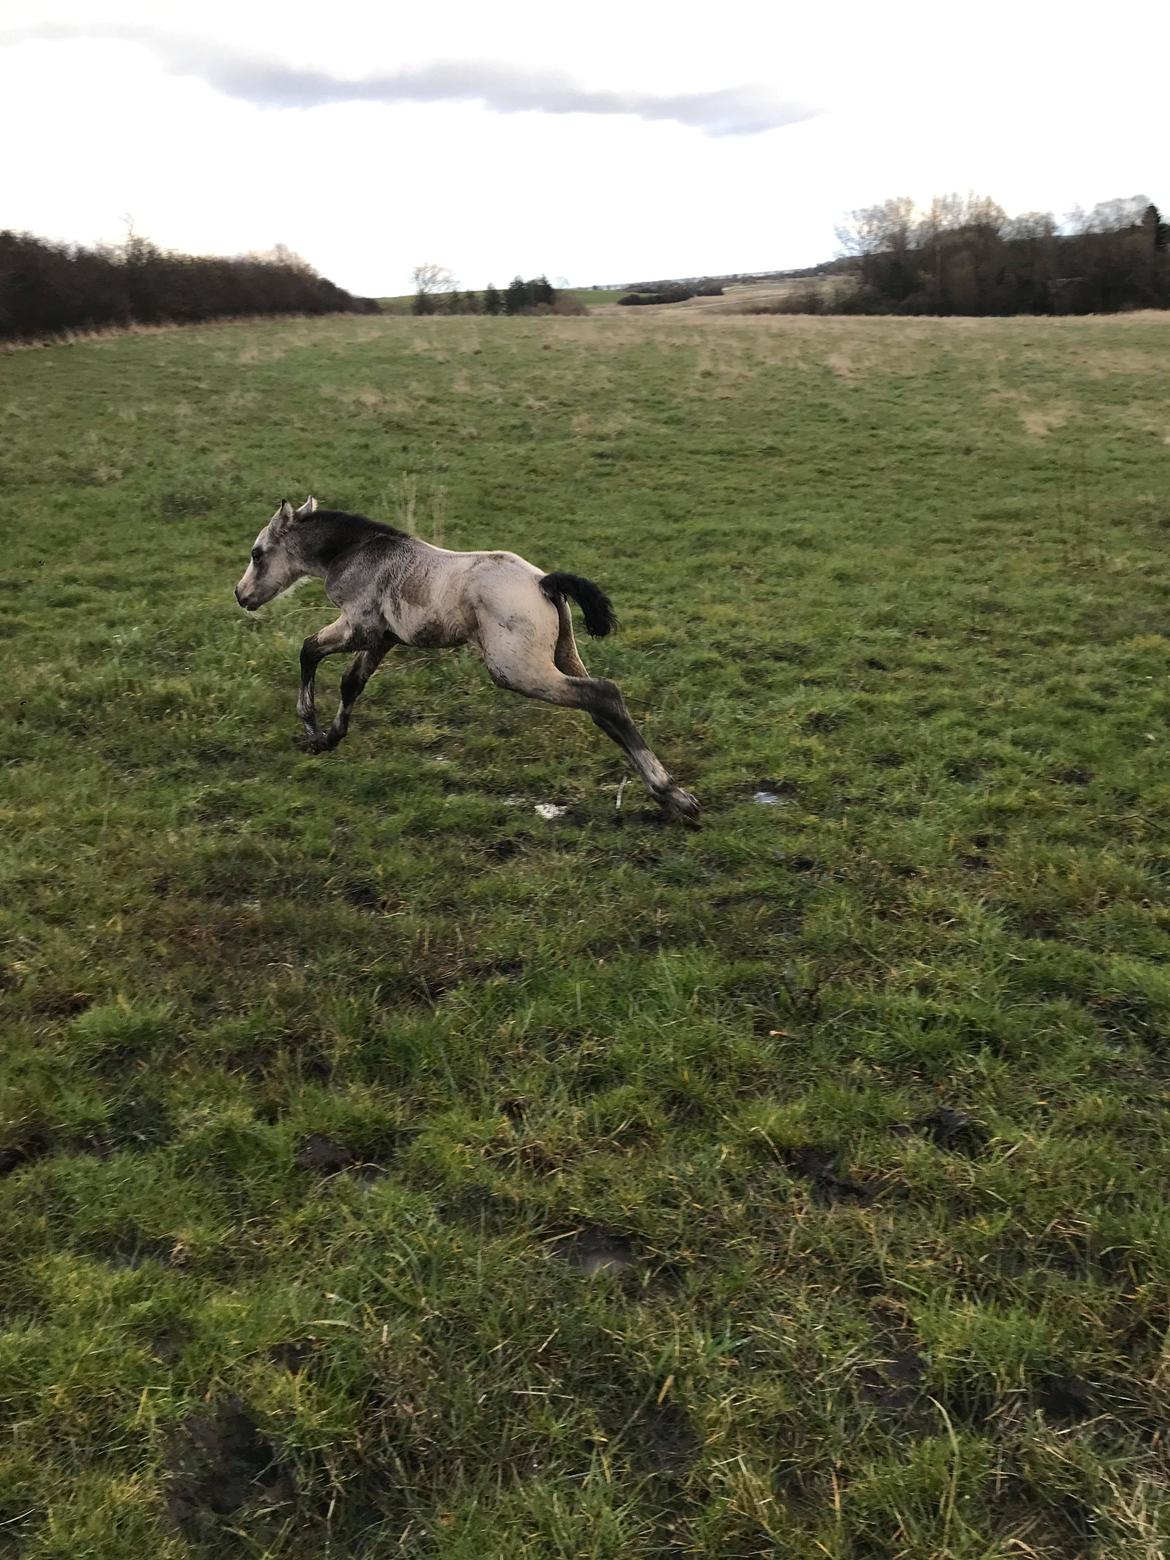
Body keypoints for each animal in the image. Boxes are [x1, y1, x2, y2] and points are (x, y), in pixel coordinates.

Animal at [233, 499, 702, 823]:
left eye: (257, 553)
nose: (241, 595)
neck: (360, 553)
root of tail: (543, 582)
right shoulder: (383, 638)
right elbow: (352, 684)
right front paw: (329, 738)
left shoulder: (357, 628)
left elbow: (308, 649)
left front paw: (310, 729)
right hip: (564, 656)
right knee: (603, 709)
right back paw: (671, 798)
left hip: (516, 670)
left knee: (604, 694)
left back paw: (671, 794)